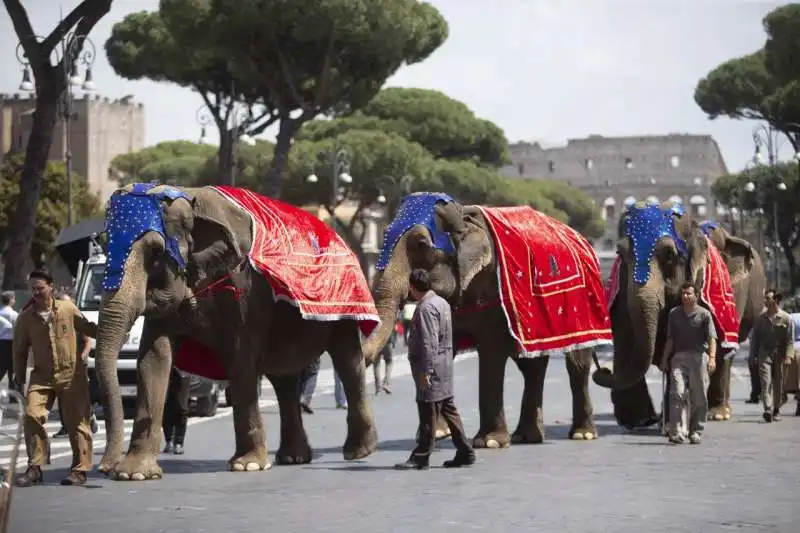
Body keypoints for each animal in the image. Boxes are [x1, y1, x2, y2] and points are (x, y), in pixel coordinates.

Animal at [94, 183, 378, 478]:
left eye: (156, 253)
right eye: (102, 241)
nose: (104, 468)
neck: (190, 199)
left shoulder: (244, 287)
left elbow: (240, 358)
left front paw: (248, 465)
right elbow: (154, 357)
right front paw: (133, 473)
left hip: (346, 299)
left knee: (348, 360)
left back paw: (357, 452)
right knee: (284, 377)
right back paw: (294, 457)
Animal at [360, 193, 608, 446]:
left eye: (421, 244)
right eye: (384, 235)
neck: (463, 215)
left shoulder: (492, 292)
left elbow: (491, 353)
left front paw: (489, 442)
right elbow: (439, 351)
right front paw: (436, 434)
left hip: (583, 302)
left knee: (577, 363)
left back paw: (582, 433)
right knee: (531, 365)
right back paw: (527, 436)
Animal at [592, 201, 764, 428]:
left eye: (670, 255)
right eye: (620, 253)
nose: (602, 370)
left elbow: (703, 340)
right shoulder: (620, 285)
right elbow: (625, 332)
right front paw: (639, 420)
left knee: (724, 352)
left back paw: (717, 413)